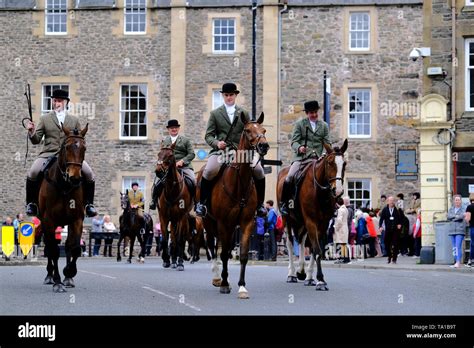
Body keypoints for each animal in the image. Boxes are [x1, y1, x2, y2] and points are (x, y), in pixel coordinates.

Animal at [39, 123, 89, 292]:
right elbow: (54, 250)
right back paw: (49, 276)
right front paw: (57, 281)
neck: (64, 186)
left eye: (84, 148)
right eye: (67, 147)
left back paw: (67, 277)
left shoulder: (77, 220)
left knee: (67, 247)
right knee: (49, 247)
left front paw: (69, 273)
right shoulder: (48, 221)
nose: (75, 177)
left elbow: (74, 248)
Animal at [155, 142, 193, 272]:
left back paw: (177, 260)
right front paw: (166, 260)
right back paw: (172, 261)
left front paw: (180, 263)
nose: (158, 171)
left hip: (181, 219)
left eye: (170, 155)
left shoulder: (181, 217)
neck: (172, 189)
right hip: (173, 219)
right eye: (159, 154)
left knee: (179, 238)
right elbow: (165, 238)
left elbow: (180, 239)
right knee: (173, 238)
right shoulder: (163, 217)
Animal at [196, 112, 268, 300]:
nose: (264, 146)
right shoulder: (223, 223)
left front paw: (242, 287)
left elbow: (242, 255)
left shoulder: (247, 222)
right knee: (212, 247)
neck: (239, 182)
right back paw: (217, 278)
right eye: (248, 130)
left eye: (264, 130)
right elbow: (222, 253)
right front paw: (224, 284)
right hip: (209, 222)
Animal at [274, 139, 348, 290]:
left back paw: (302, 272)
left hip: (301, 221)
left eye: (344, 164)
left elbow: (314, 249)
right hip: (287, 219)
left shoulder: (323, 224)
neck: (320, 192)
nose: (337, 191)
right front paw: (320, 280)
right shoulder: (311, 221)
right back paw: (292, 274)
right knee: (290, 243)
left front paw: (310, 277)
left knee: (302, 241)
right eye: (329, 162)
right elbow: (317, 249)